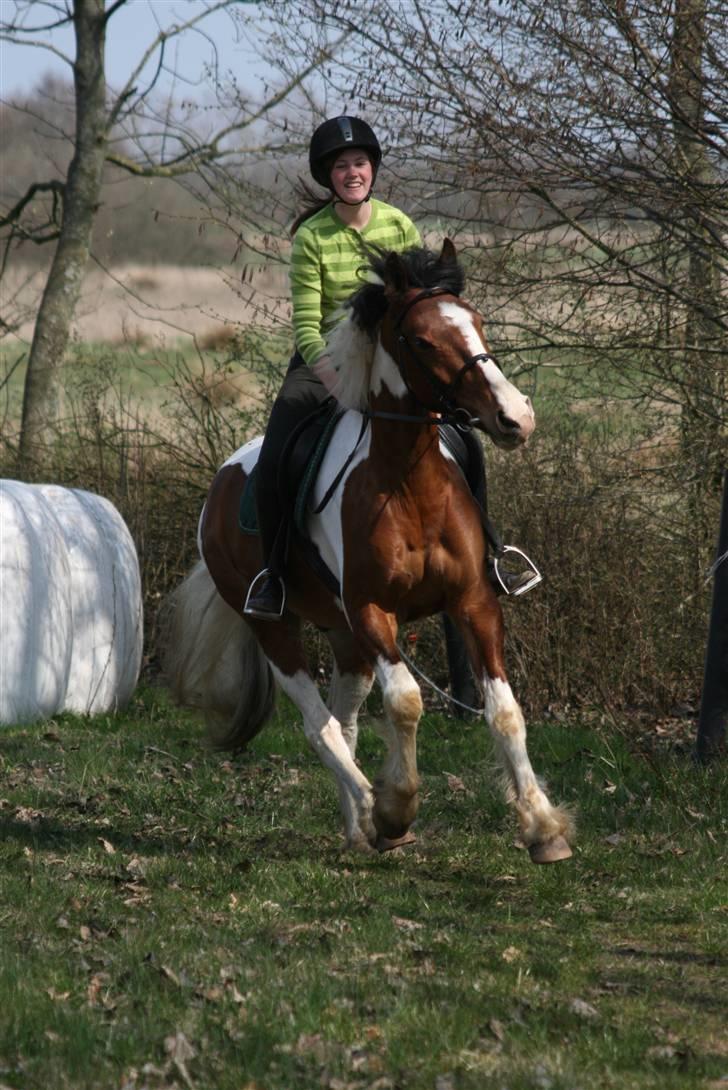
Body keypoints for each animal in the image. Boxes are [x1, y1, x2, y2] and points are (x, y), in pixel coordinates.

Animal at [164, 243, 575, 863]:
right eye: (423, 341)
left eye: (477, 322)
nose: (515, 418)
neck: (411, 487)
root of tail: (223, 479)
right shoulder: (371, 611)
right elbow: (406, 702)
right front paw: (396, 807)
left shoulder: (475, 601)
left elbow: (505, 713)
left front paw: (544, 829)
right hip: (277, 627)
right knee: (320, 727)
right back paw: (372, 814)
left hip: (343, 636)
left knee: (346, 722)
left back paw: (357, 826)